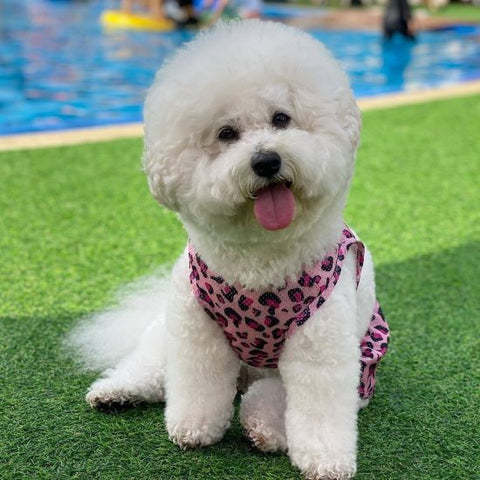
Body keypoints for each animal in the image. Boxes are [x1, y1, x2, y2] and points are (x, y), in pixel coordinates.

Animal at [71, 19, 390, 480]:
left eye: (281, 119)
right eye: (226, 133)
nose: (266, 161)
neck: (259, 260)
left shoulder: (322, 347)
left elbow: (318, 409)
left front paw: (326, 460)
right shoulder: (195, 331)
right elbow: (197, 385)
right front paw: (193, 428)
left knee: (266, 396)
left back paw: (264, 427)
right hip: (165, 333)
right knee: (150, 369)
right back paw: (116, 390)